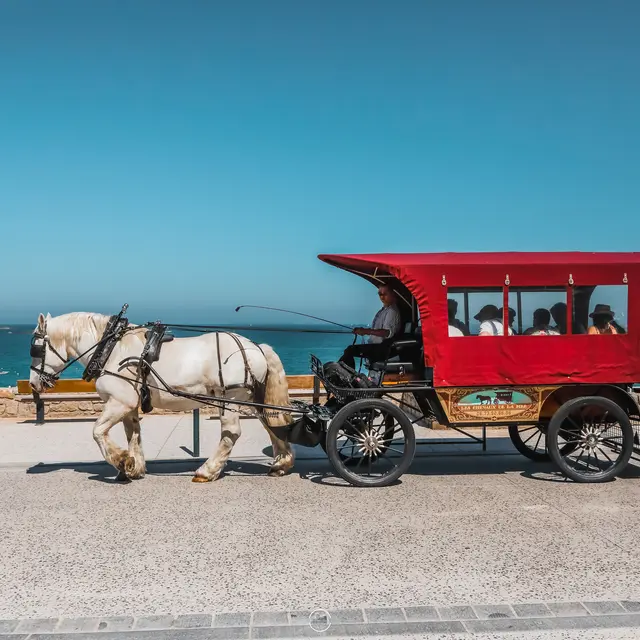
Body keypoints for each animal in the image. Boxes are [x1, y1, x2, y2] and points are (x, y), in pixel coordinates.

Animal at [28, 311, 295, 482]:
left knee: (232, 433)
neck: (110, 348)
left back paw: (207, 471)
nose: (32, 383)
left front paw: (121, 461)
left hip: (229, 396)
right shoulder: (129, 406)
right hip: (251, 398)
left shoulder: (119, 402)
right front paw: (133, 467)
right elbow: (133, 435)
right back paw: (281, 464)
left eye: (36, 348)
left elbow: (97, 431)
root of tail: (255, 346)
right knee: (272, 424)